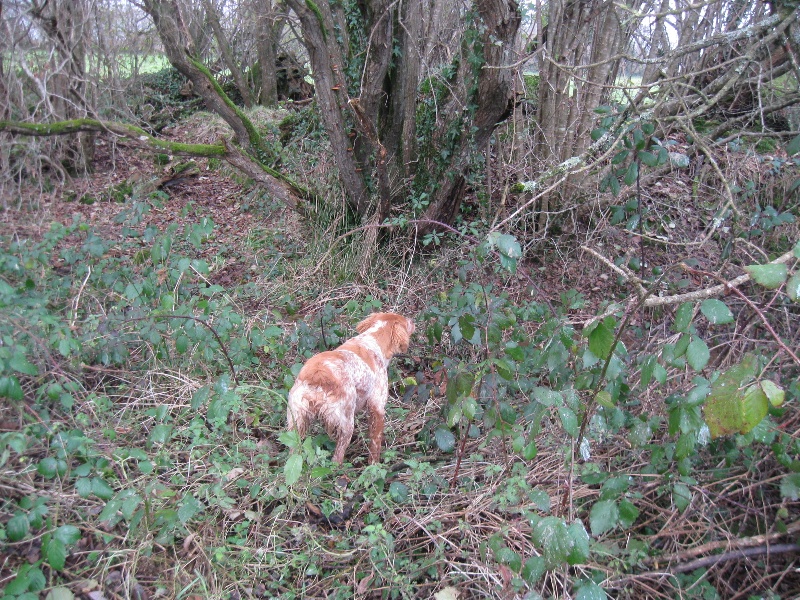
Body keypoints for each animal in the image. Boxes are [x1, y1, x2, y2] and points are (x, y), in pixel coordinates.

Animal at [286, 312, 414, 464]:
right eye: (406, 321)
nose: (413, 320)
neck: (373, 339)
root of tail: (317, 375)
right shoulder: (377, 408)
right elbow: (375, 445)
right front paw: (374, 465)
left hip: (296, 423)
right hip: (346, 424)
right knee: (337, 457)